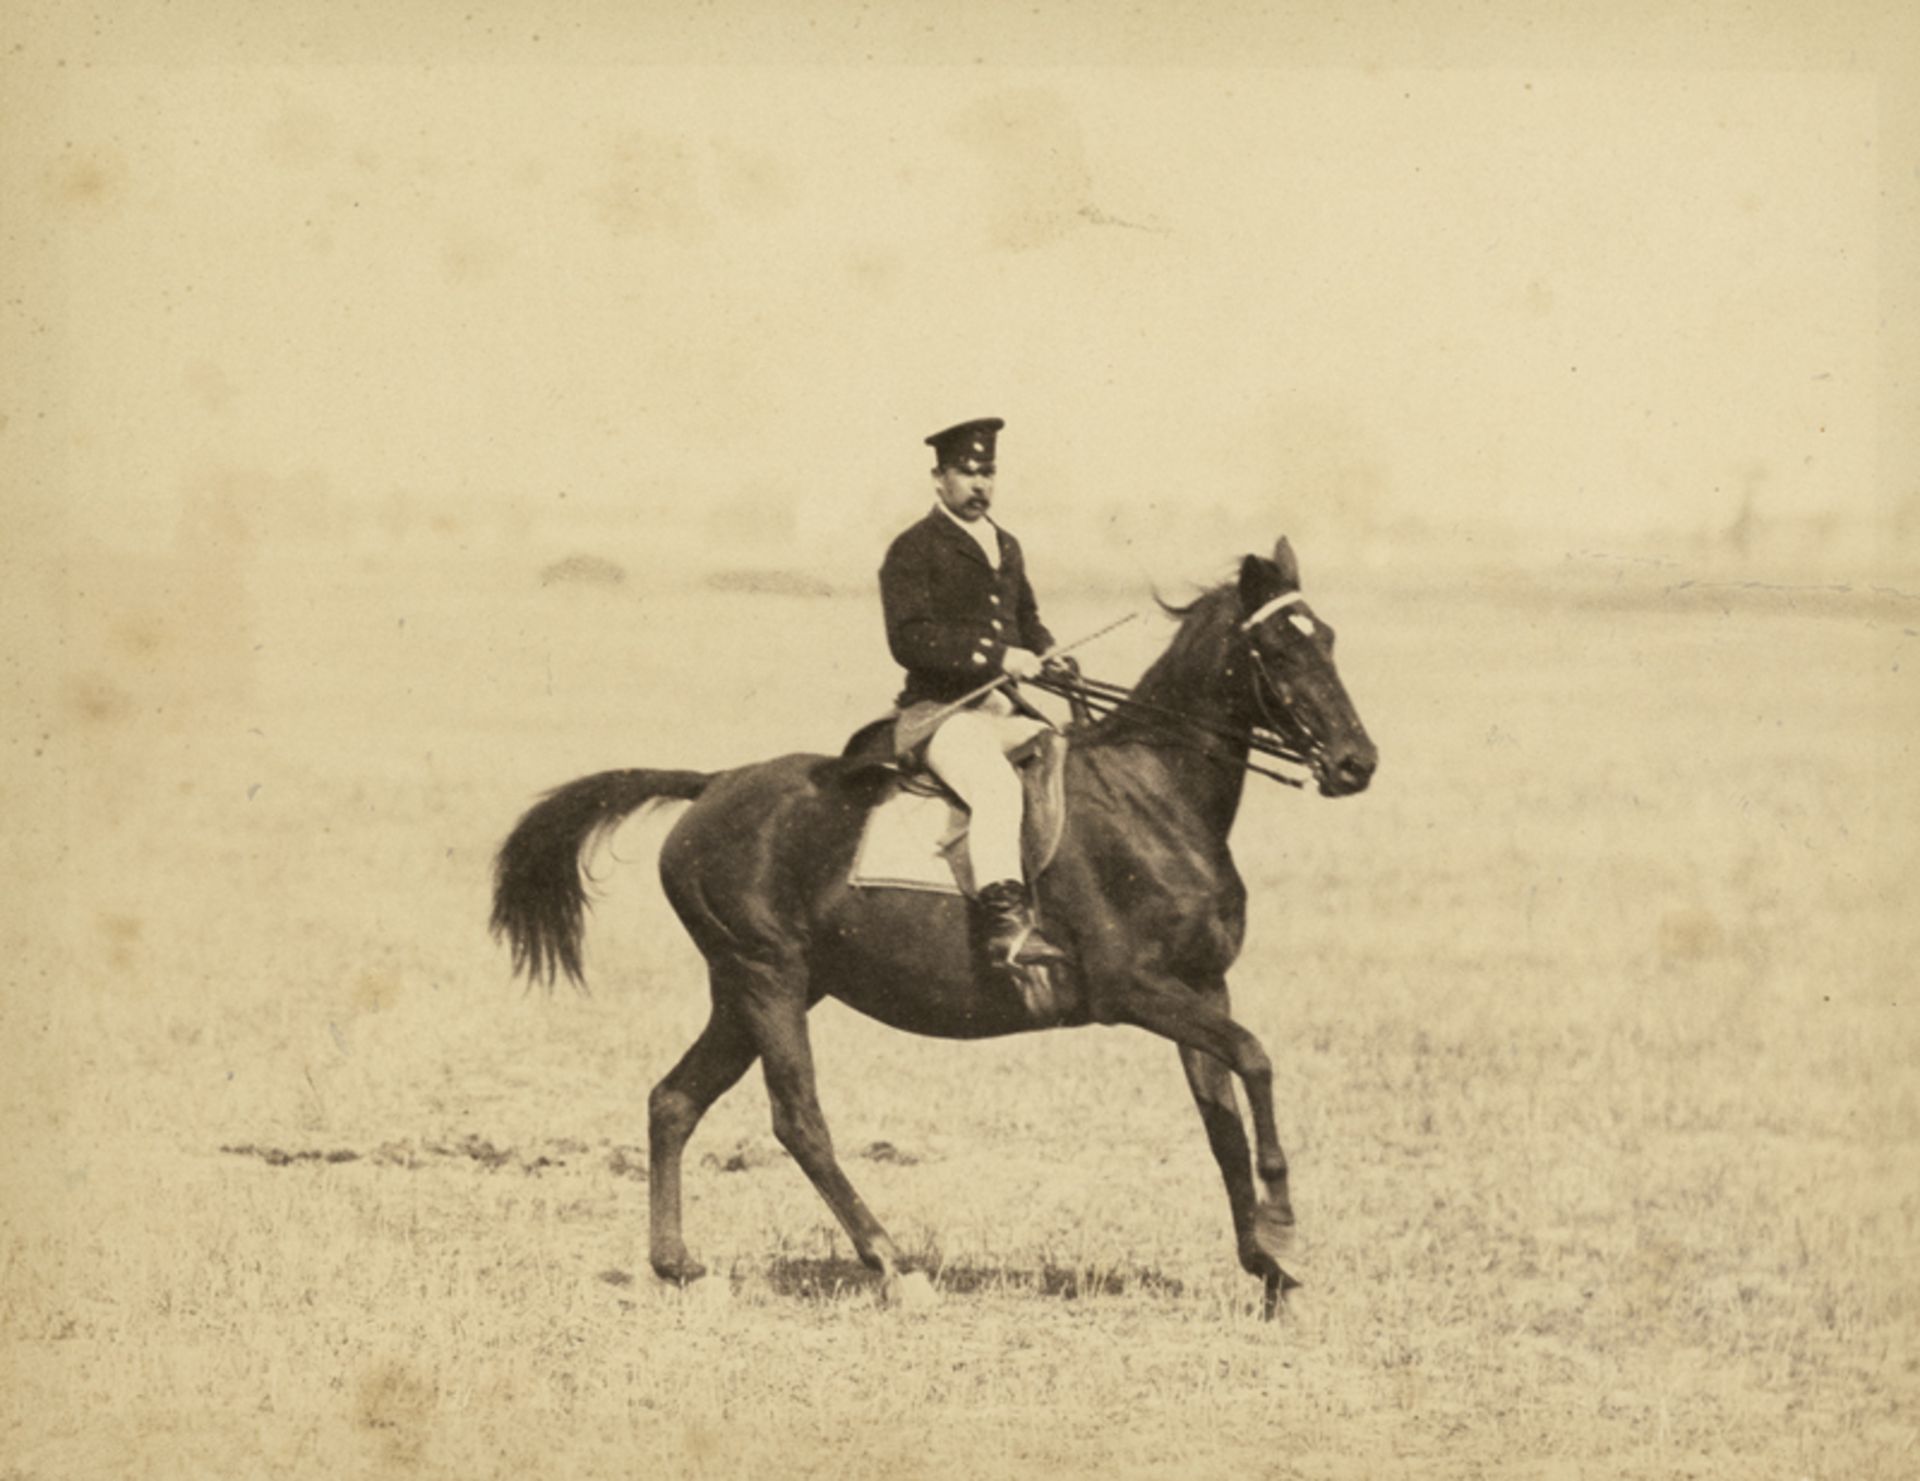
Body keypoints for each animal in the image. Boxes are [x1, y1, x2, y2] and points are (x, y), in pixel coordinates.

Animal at [487, 537, 1374, 1313]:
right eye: (1281, 653)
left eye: (1329, 638)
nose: (1357, 763)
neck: (1153, 796)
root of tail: (712, 785)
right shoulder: (1135, 989)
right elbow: (1257, 1060)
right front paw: (1283, 1236)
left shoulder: (1202, 986)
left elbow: (1223, 1122)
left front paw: (1267, 1269)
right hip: (765, 977)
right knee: (798, 1120)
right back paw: (894, 1266)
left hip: (753, 990)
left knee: (673, 1100)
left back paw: (681, 1268)